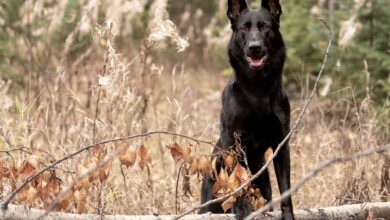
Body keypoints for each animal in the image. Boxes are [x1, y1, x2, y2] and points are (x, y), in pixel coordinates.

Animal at [200, 0, 294, 220]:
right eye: (243, 28)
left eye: (265, 27)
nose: (255, 48)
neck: (256, 88)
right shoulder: (232, 144)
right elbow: (238, 183)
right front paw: (241, 209)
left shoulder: (282, 145)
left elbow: (285, 189)